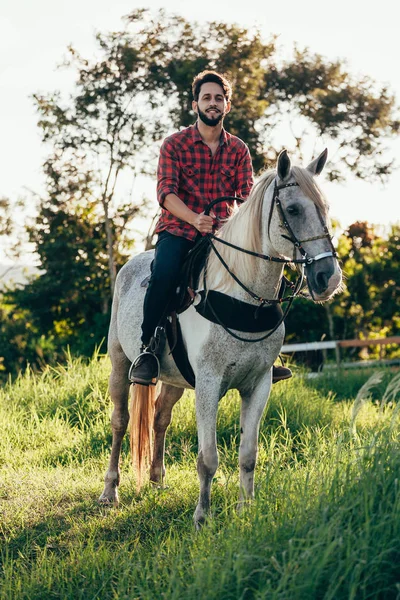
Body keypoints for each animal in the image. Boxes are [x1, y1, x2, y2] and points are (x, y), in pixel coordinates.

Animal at [98, 149, 342, 524]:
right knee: (121, 421)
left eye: (326, 207)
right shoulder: (209, 384)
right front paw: (202, 516)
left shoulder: (259, 384)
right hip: (120, 363)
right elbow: (207, 458)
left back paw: (156, 480)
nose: (327, 278)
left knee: (160, 417)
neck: (242, 296)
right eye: (293, 210)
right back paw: (110, 490)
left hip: (174, 378)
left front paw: (246, 510)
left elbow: (248, 454)